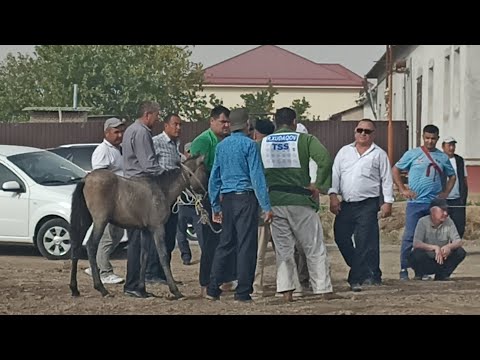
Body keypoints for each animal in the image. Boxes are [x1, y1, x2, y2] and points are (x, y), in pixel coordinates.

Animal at [69, 156, 206, 300]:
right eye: (205, 170)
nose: (205, 192)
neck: (162, 189)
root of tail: (86, 178)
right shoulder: (158, 228)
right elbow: (163, 256)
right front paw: (175, 291)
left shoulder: (145, 231)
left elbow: (143, 256)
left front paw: (142, 290)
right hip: (100, 221)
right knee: (91, 246)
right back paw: (102, 289)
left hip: (85, 220)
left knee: (76, 246)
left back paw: (74, 289)